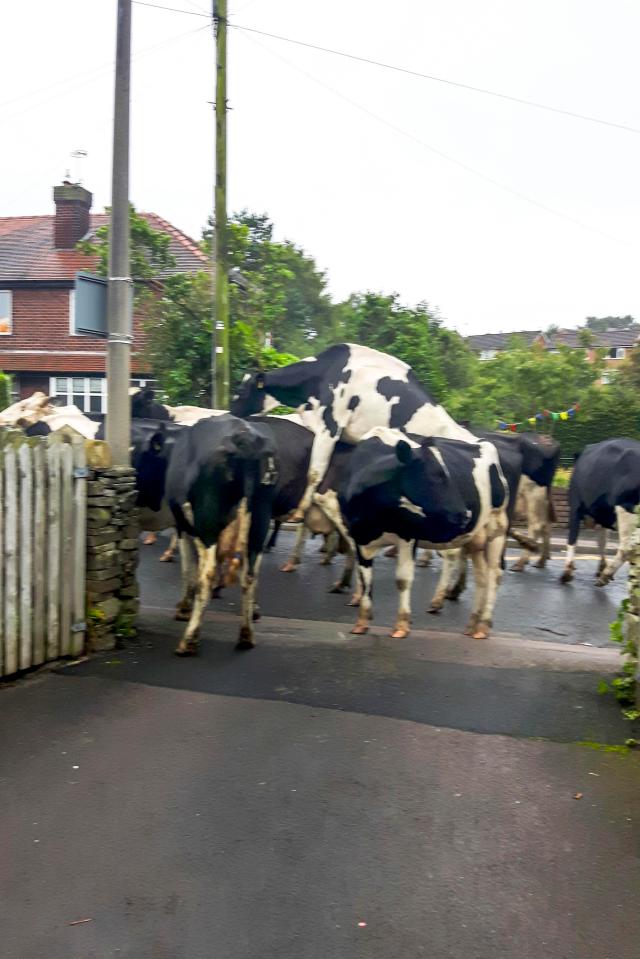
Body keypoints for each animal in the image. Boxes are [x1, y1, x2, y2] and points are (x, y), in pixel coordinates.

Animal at [340, 428, 510, 636]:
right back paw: (472, 624)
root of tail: (483, 442)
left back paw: (483, 625)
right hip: (476, 537)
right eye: (436, 476)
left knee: (495, 573)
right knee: (481, 575)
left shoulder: (408, 535)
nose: (465, 514)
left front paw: (402, 625)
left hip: (497, 525)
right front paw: (362, 622)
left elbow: (403, 579)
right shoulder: (358, 537)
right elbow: (365, 579)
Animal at [564, 440, 636, 588]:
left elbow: (572, 538)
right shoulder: (604, 515)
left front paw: (567, 572)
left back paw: (605, 576)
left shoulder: (575, 507)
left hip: (626, 508)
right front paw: (601, 567)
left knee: (626, 549)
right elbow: (602, 541)